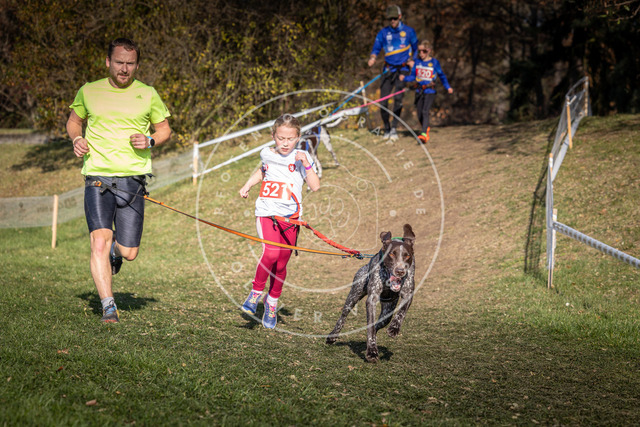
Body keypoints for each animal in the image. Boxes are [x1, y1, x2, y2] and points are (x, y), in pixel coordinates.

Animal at [326, 224, 415, 362]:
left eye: (407, 255)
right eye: (391, 254)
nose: (400, 271)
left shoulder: (408, 294)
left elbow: (401, 312)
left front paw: (394, 328)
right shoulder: (372, 298)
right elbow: (370, 326)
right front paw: (372, 351)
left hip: (388, 309)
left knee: (381, 323)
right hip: (353, 295)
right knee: (343, 317)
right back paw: (333, 335)